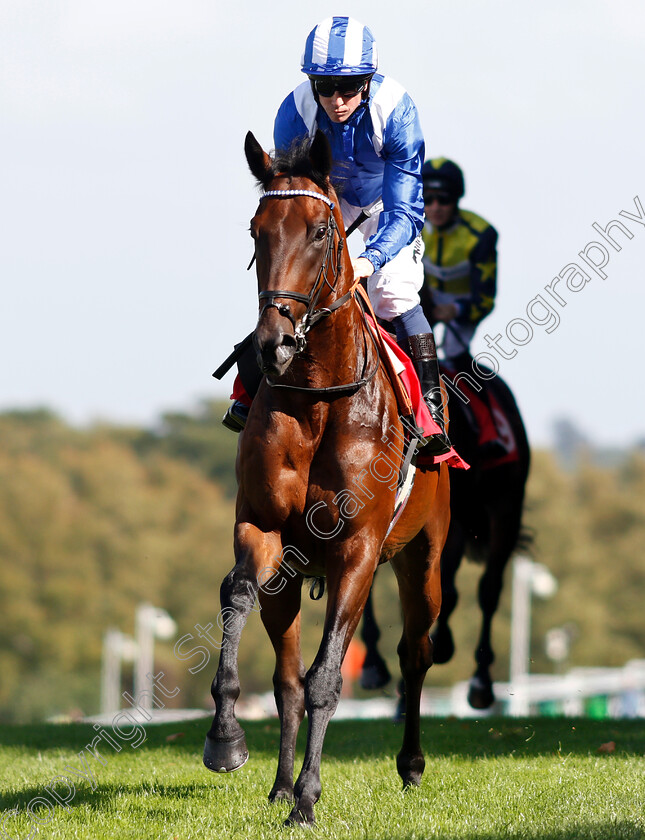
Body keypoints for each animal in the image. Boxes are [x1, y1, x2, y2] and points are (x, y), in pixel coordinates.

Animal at [204, 133, 450, 828]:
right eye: (256, 231)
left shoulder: (358, 552)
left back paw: (409, 765)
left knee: (414, 652)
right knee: (286, 676)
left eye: (320, 231)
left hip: (422, 556)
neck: (319, 398)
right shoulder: (261, 527)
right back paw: (280, 785)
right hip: (292, 575)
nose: (274, 343)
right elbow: (238, 596)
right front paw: (228, 742)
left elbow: (327, 677)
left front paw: (309, 801)